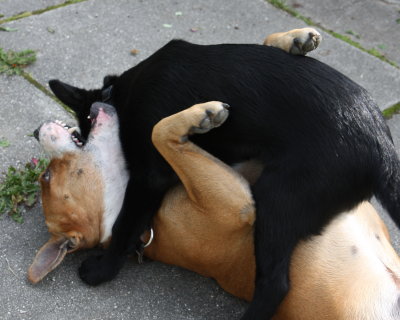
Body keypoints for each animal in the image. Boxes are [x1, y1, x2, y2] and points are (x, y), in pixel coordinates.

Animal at [28, 29, 400, 318]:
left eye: (48, 176)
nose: (35, 130)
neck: (122, 95)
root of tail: (382, 148)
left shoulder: (149, 176)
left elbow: (125, 220)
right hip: (279, 198)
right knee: (276, 283)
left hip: (277, 199)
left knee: (274, 284)